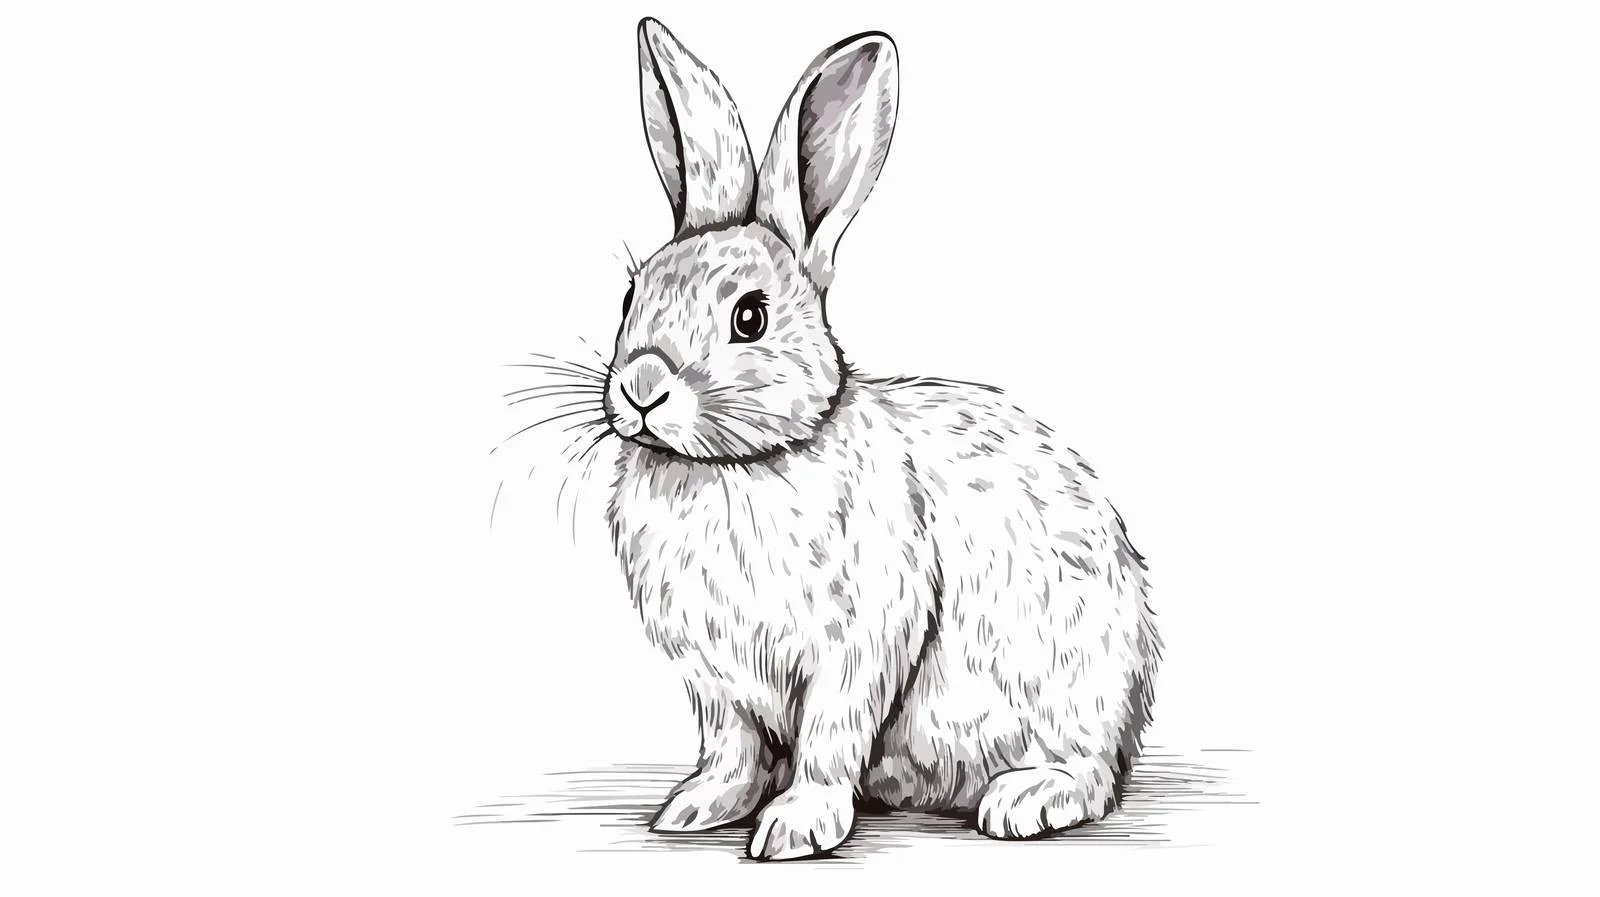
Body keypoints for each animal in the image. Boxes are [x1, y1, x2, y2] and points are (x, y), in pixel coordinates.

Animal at [599, 18, 1160, 860]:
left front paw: (795, 827)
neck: (739, 463)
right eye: (632, 293)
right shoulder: (716, 680)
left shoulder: (859, 643)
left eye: (750, 316)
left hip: (1074, 689)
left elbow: (829, 737)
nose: (641, 386)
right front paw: (697, 805)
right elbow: (731, 747)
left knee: (1092, 774)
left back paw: (1023, 799)